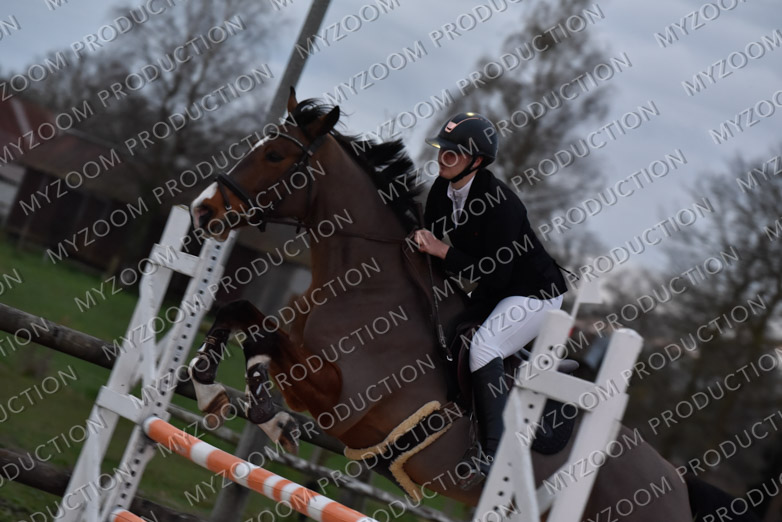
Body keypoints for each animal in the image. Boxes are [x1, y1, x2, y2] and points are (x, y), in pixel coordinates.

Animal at [185, 88, 695, 520]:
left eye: (275, 155)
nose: (202, 210)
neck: (363, 287)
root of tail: (676, 485)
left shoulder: (339, 399)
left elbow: (263, 337)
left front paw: (271, 419)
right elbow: (242, 314)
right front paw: (211, 388)